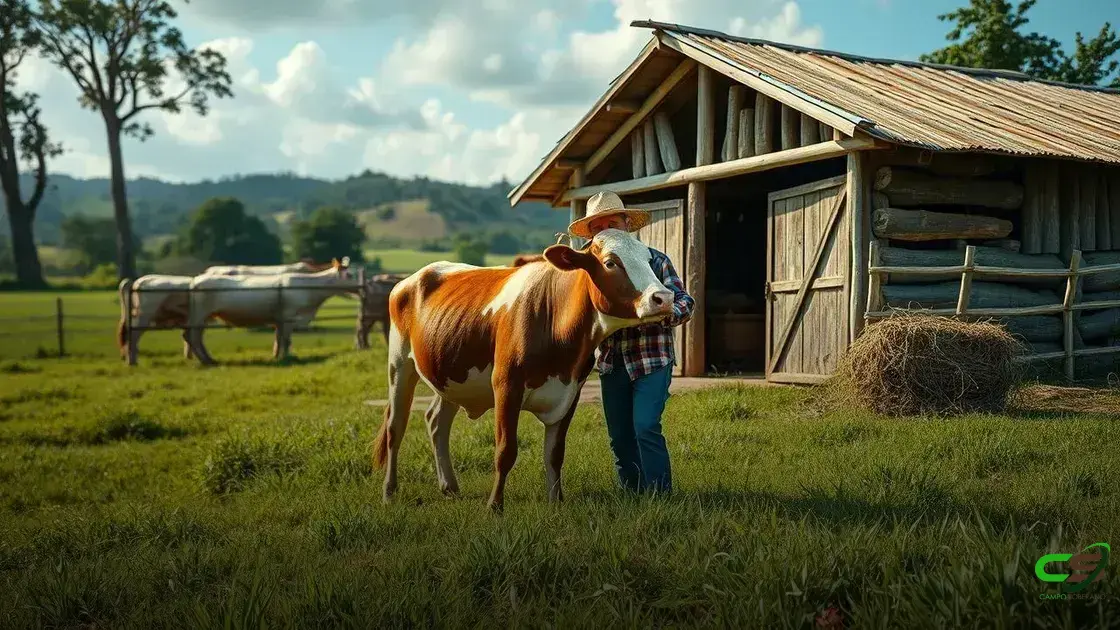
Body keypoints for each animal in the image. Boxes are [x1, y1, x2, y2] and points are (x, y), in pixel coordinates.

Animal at [184, 258, 357, 364]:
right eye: (349, 274)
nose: (362, 285)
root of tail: (196, 280)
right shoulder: (288, 317)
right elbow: (286, 340)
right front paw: (285, 358)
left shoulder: (279, 319)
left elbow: (278, 339)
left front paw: (276, 356)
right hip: (199, 315)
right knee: (192, 337)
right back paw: (206, 361)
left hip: (204, 317)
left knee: (194, 337)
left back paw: (208, 359)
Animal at [372, 228, 676, 511]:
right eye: (611, 262)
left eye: (649, 259)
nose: (664, 297)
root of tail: (413, 277)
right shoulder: (507, 385)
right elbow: (505, 450)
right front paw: (494, 506)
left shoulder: (571, 392)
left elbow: (555, 453)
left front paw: (556, 502)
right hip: (399, 364)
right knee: (395, 428)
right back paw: (388, 493)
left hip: (449, 376)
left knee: (436, 421)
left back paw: (449, 487)